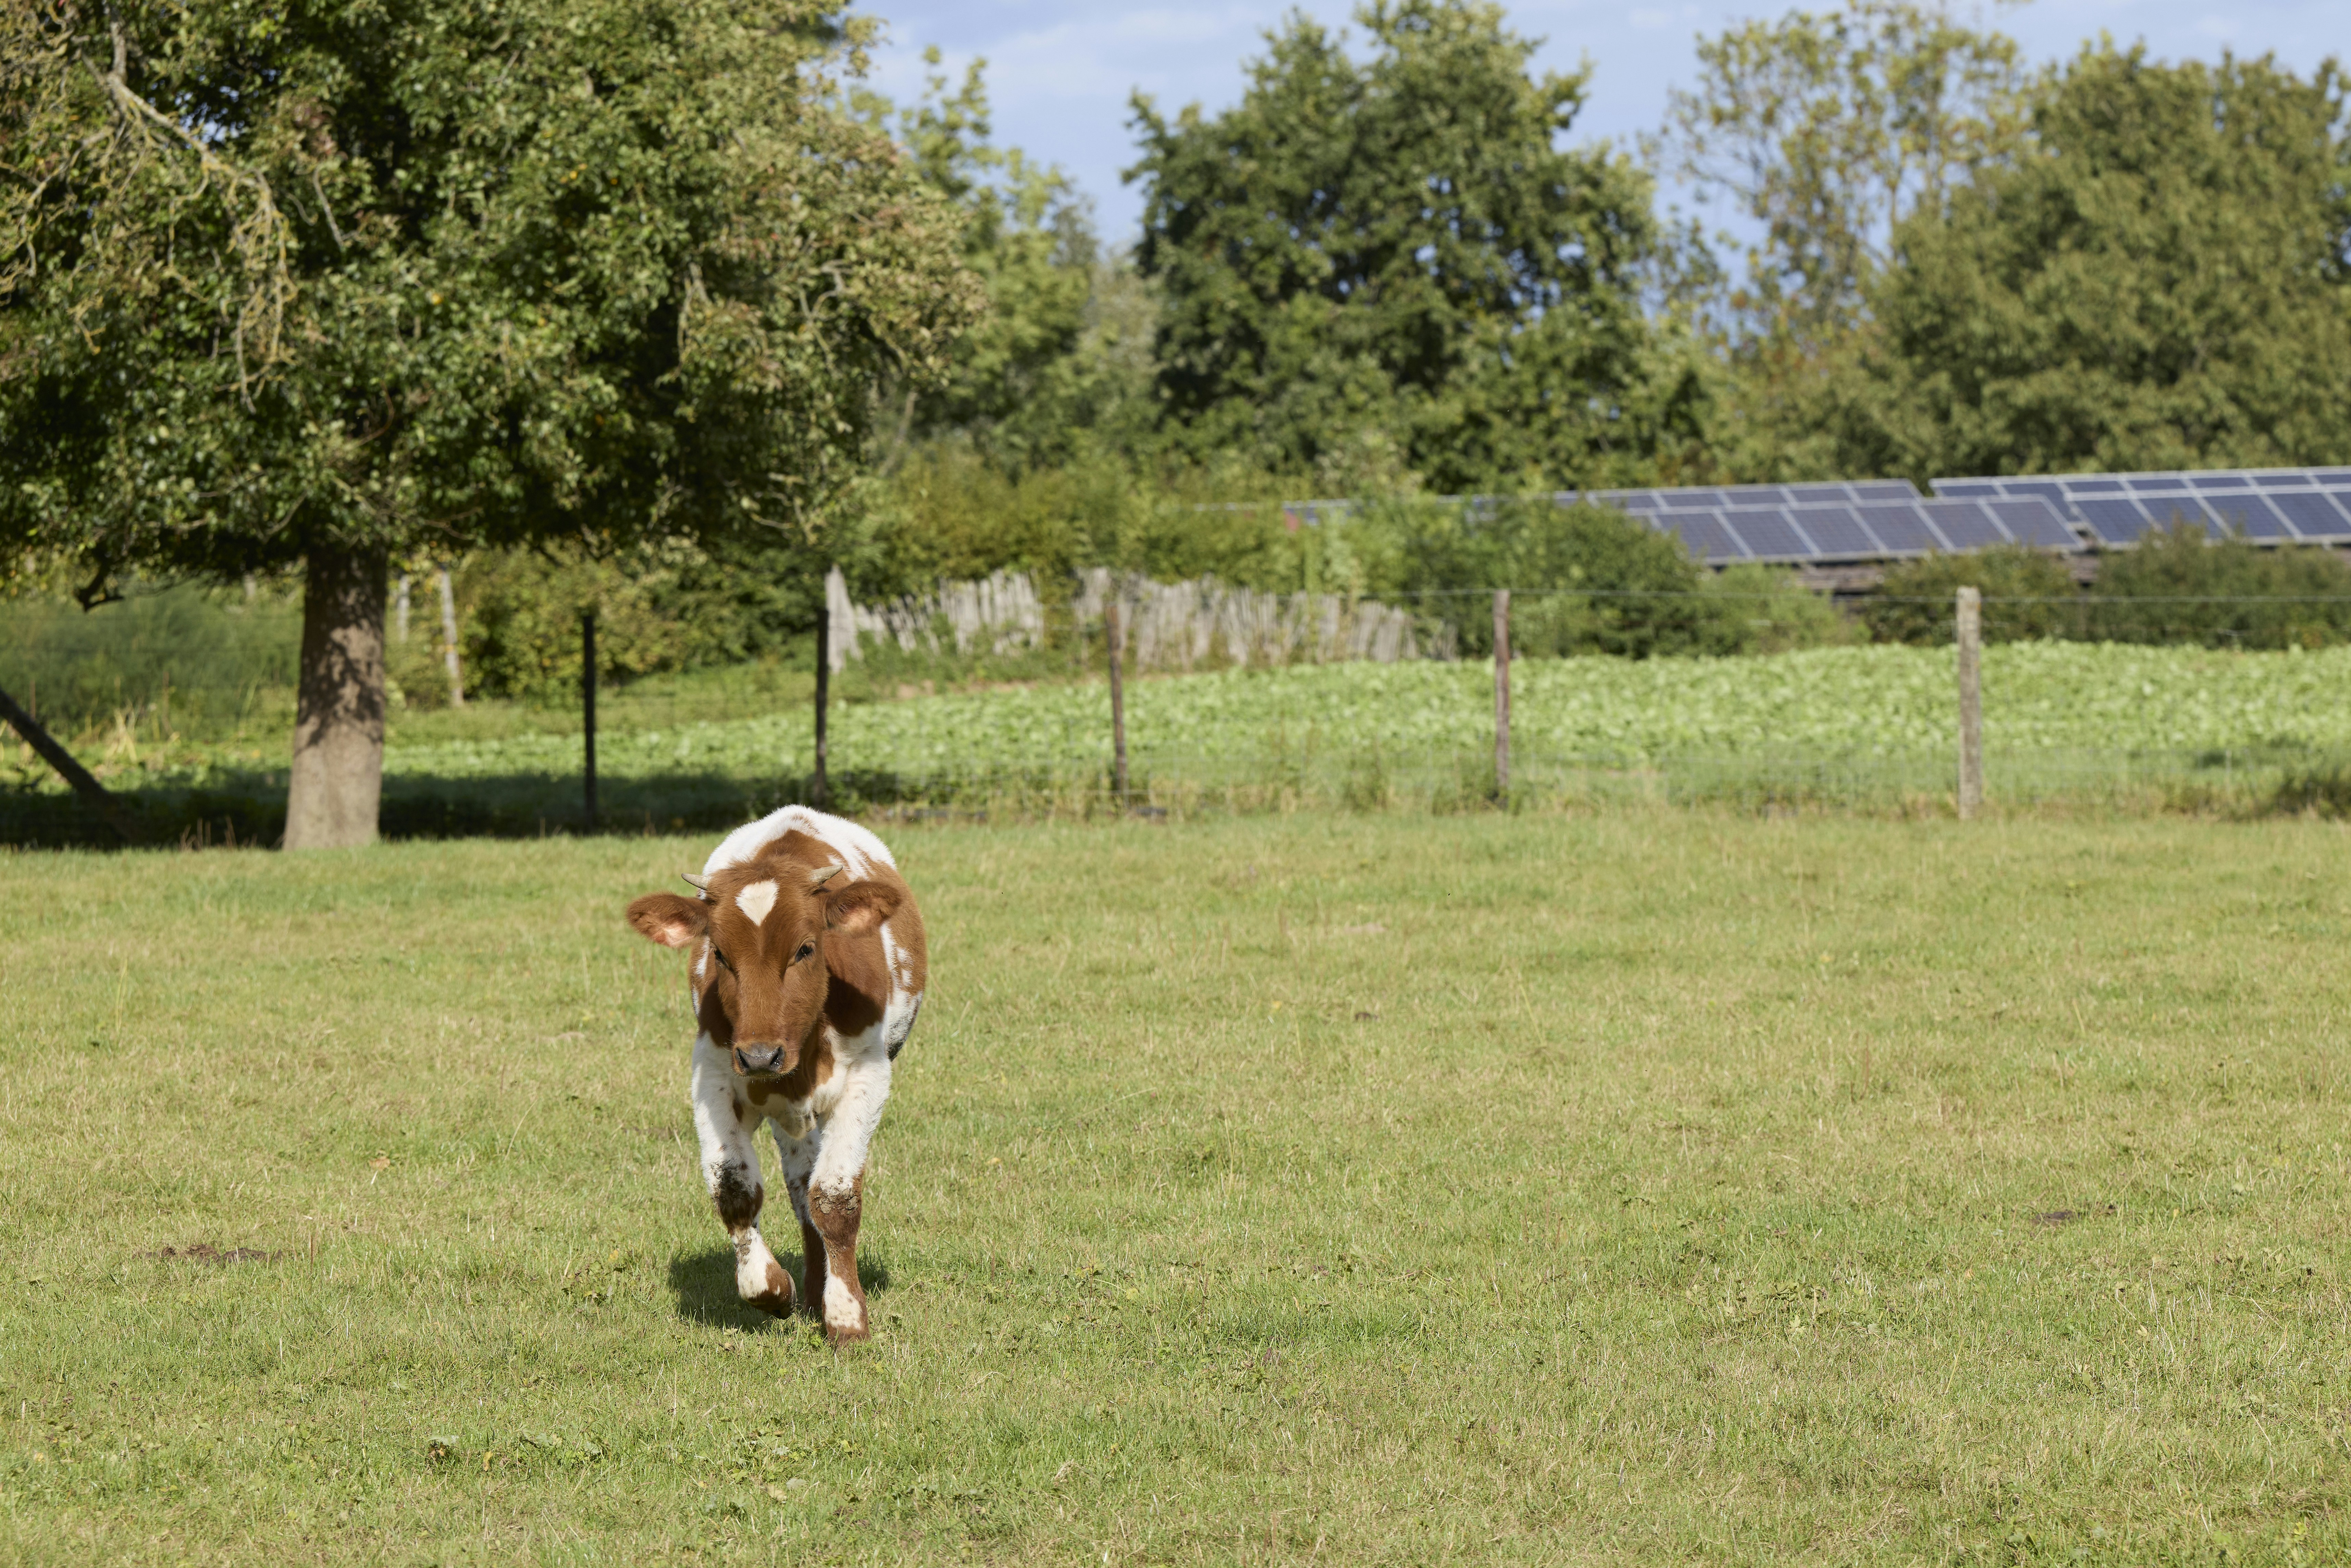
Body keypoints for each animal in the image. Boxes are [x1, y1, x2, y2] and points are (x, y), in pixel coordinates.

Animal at [624, 806, 926, 1343]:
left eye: (806, 948)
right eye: (719, 954)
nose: (761, 1056)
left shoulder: (868, 1079)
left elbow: (835, 1196)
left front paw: (846, 1318)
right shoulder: (713, 1076)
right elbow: (734, 1188)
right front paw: (771, 1289)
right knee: (799, 1184)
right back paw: (809, 1291)